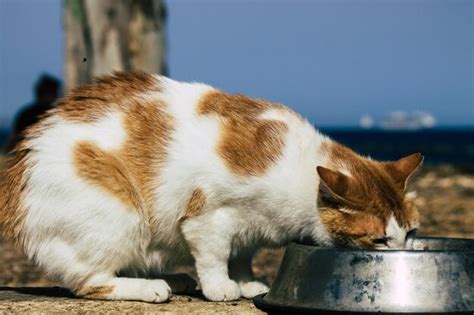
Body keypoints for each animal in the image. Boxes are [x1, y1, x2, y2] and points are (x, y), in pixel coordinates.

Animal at [0, 71, 422, 304]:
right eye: (379, 240)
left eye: (411, 233)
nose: (403, 254)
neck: (300, 173)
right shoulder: (208, 216)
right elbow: (216, 256)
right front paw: (221, 287)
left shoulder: (250, 229)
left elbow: (243, 255)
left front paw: (246, 282)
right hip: (118, 216)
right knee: (90, 282)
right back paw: (152, 288)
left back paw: (174, 279)